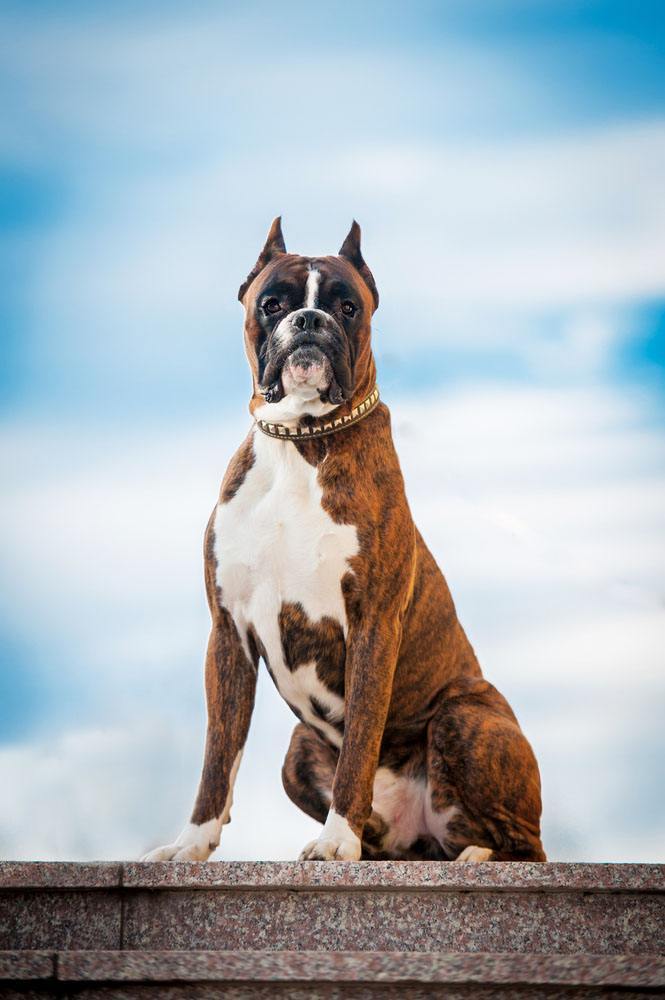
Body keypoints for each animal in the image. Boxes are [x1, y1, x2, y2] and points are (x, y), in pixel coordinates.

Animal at [143, 223, 544, 864]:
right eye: (272, 303)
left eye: (347, 306)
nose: (309, 320)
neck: (301, 442)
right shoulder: (228, 633)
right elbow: (217, 757)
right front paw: (192, 844)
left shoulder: (373, 624)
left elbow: (358, 741)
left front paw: (336, 842)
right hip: (297, 752)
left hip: (462, 718)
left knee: (523, 842)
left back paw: (475, 855)